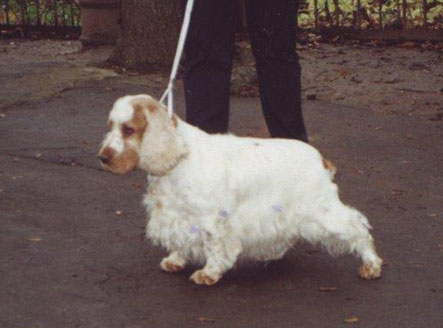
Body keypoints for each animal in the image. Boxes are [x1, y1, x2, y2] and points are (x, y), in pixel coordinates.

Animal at [99, 94, 384, 284]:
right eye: (110, 126)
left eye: (128, 129)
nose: (103, 157)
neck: (178, 157)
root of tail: (320, 159)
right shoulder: (179, 215)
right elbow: (181, 240)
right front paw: (175, 260)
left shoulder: (212, 220)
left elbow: (214, 247)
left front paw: (208, 273)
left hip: (322, 210)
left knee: (358, 229)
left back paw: (371, 265)